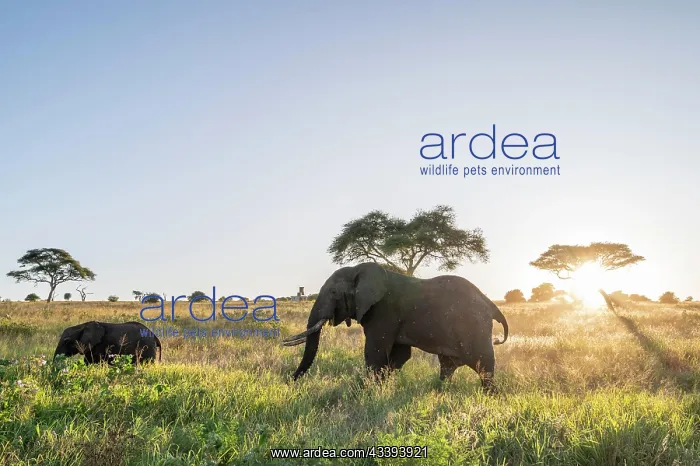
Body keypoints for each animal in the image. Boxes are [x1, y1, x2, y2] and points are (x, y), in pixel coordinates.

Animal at [282, 262, 509, 393]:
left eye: (333, 293)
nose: (288, 383)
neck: (360, 271)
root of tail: (491, 304)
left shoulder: (385, 311)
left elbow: (375, 352)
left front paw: (368, 390)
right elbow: (399, 355)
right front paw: (382, 387)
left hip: (474, 326)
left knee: (483, 365)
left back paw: (490, 396)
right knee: (448, 365)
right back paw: (440, 390)